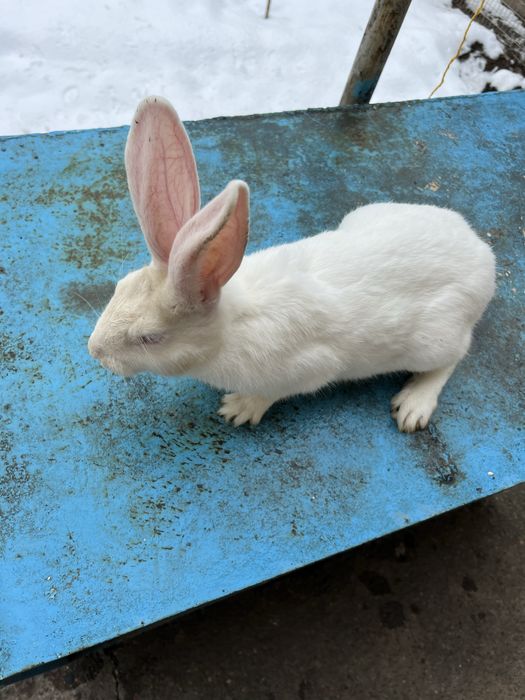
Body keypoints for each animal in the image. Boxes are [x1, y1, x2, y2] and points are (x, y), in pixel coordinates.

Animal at [88, 96, 496, 433]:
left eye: (149, 338)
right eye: (119, 287)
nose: (94, 350)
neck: (229, 329)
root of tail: (482, 255)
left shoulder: (311, 368)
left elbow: (277, 391)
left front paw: (238, 409)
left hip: (434, 338)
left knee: (454, 358)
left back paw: (413, 406)